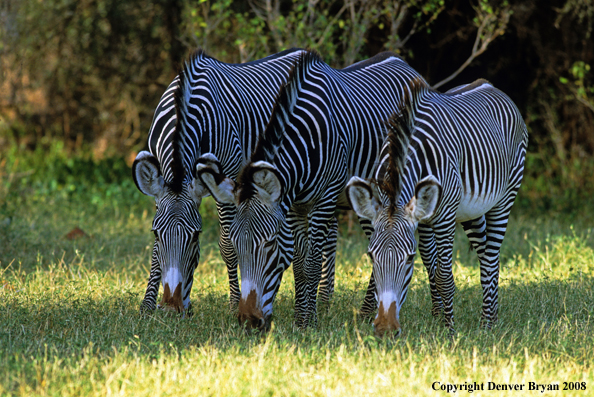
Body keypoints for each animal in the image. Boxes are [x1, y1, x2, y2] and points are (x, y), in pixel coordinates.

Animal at [132, 48, 332, 314]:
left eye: (196, 236)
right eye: (156, 234)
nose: (173, 307)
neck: (184, 109)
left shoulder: (225, 172)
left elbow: (227, 246)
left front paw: (235, 303)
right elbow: (156, 251)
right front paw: (147, 304)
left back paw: (324, 299)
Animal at [198, 49, 426, 328]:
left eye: (270, 244)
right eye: (235, 243)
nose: (248, 321)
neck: (306, 139)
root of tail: (403, 63)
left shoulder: (324, 200)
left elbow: (313, 263)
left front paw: (310, 322)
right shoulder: (295, 206)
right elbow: (299, 263)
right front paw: (300, 317)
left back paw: (368, 312)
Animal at [346, 76, 528, 334]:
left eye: (409, 258)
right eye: (371, 256)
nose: (386, 329)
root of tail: (490, 85)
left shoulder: (444, 218)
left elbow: (444, 276)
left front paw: (449, 329)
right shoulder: (421, 216)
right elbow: (430, 264)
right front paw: (438, 317)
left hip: (505, 198)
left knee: (492, 256)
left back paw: (487, 323)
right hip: (472, 212)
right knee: (484, 253)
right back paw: (489, 315)